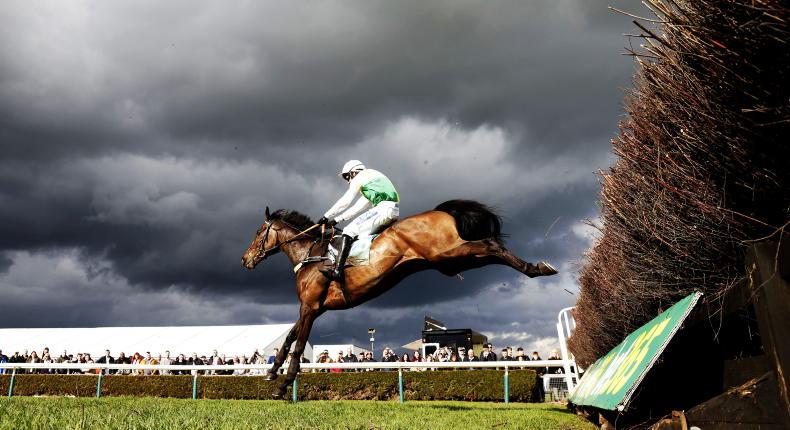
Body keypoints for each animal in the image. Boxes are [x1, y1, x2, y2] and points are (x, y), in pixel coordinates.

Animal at [241, 199, 557, 398]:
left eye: (258, 232)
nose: (245, 259)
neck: (311, 256)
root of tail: (438, 212)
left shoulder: (310, 306)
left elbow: (299, 344)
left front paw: (282, 385)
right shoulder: (313, 308)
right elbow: (289, 337)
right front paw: (271, 373)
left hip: (448, 253)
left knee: (490, 244)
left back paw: (537, 267)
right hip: (448, 263)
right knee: (489, 250)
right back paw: (536, 267)